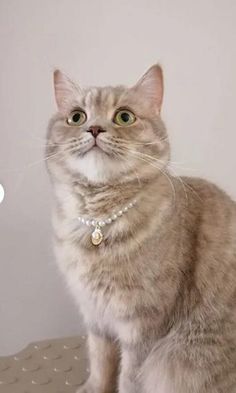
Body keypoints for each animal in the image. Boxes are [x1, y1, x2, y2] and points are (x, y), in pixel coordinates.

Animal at [45, 66, 236, 390]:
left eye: (124, 117)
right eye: (77, 117)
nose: (94, 129)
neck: (99, 224)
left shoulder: (142, 328)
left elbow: (129, 379)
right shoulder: (96, 318)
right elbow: (100, 366)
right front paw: (91, 388)